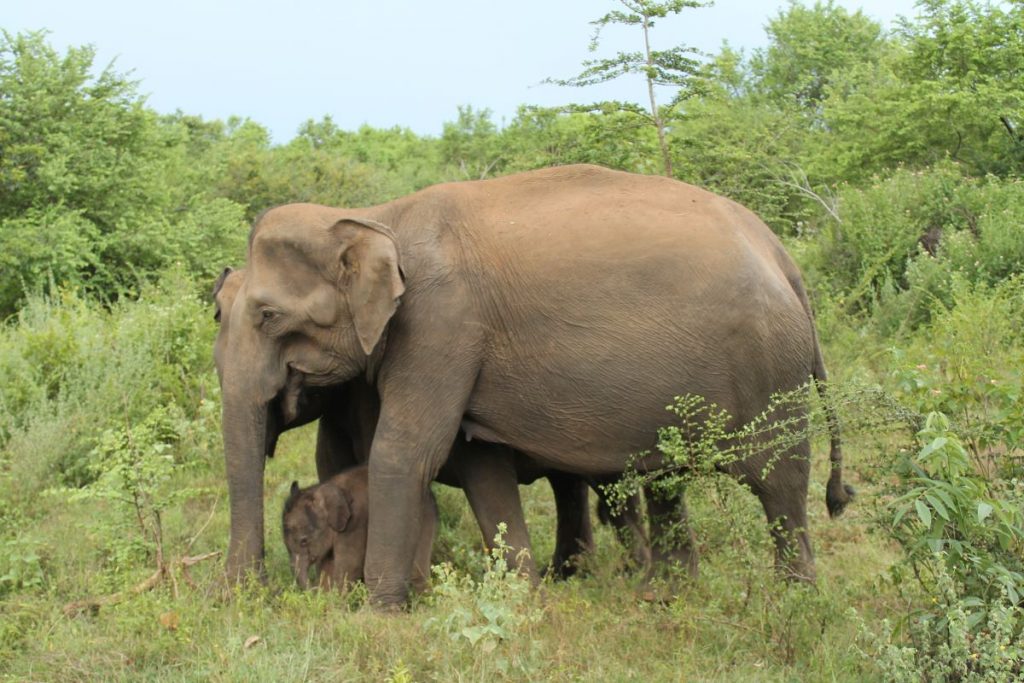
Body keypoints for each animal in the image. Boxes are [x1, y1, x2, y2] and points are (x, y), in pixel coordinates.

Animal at [282, 464, 436, 592]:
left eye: (304, 541)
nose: (312, 589)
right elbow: (328, 564)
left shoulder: (355, 522)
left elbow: (350, 565)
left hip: (425, 515)